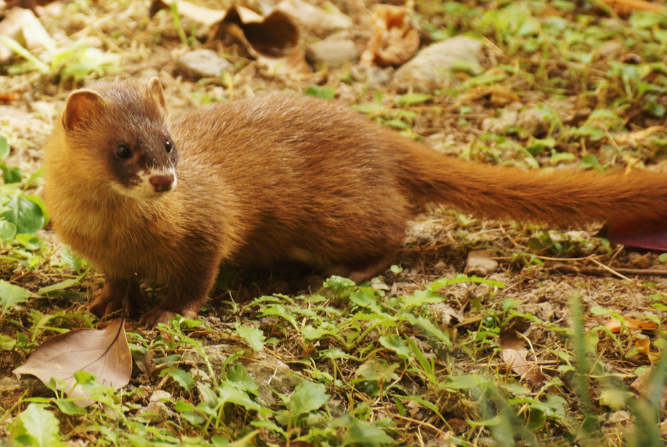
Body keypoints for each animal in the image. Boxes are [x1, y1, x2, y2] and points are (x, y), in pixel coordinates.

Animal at [43, 79, 667, 328]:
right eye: (123, 149)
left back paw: (334, 276)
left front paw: (168, 312)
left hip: (334, 217)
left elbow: (198, 278)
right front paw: (103, 304)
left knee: (394, 232)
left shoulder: (207, 230)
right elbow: (117, 281)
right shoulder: (104, 254)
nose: (165, 180)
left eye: (170, 142)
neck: (114, 232)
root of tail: (378, 136)